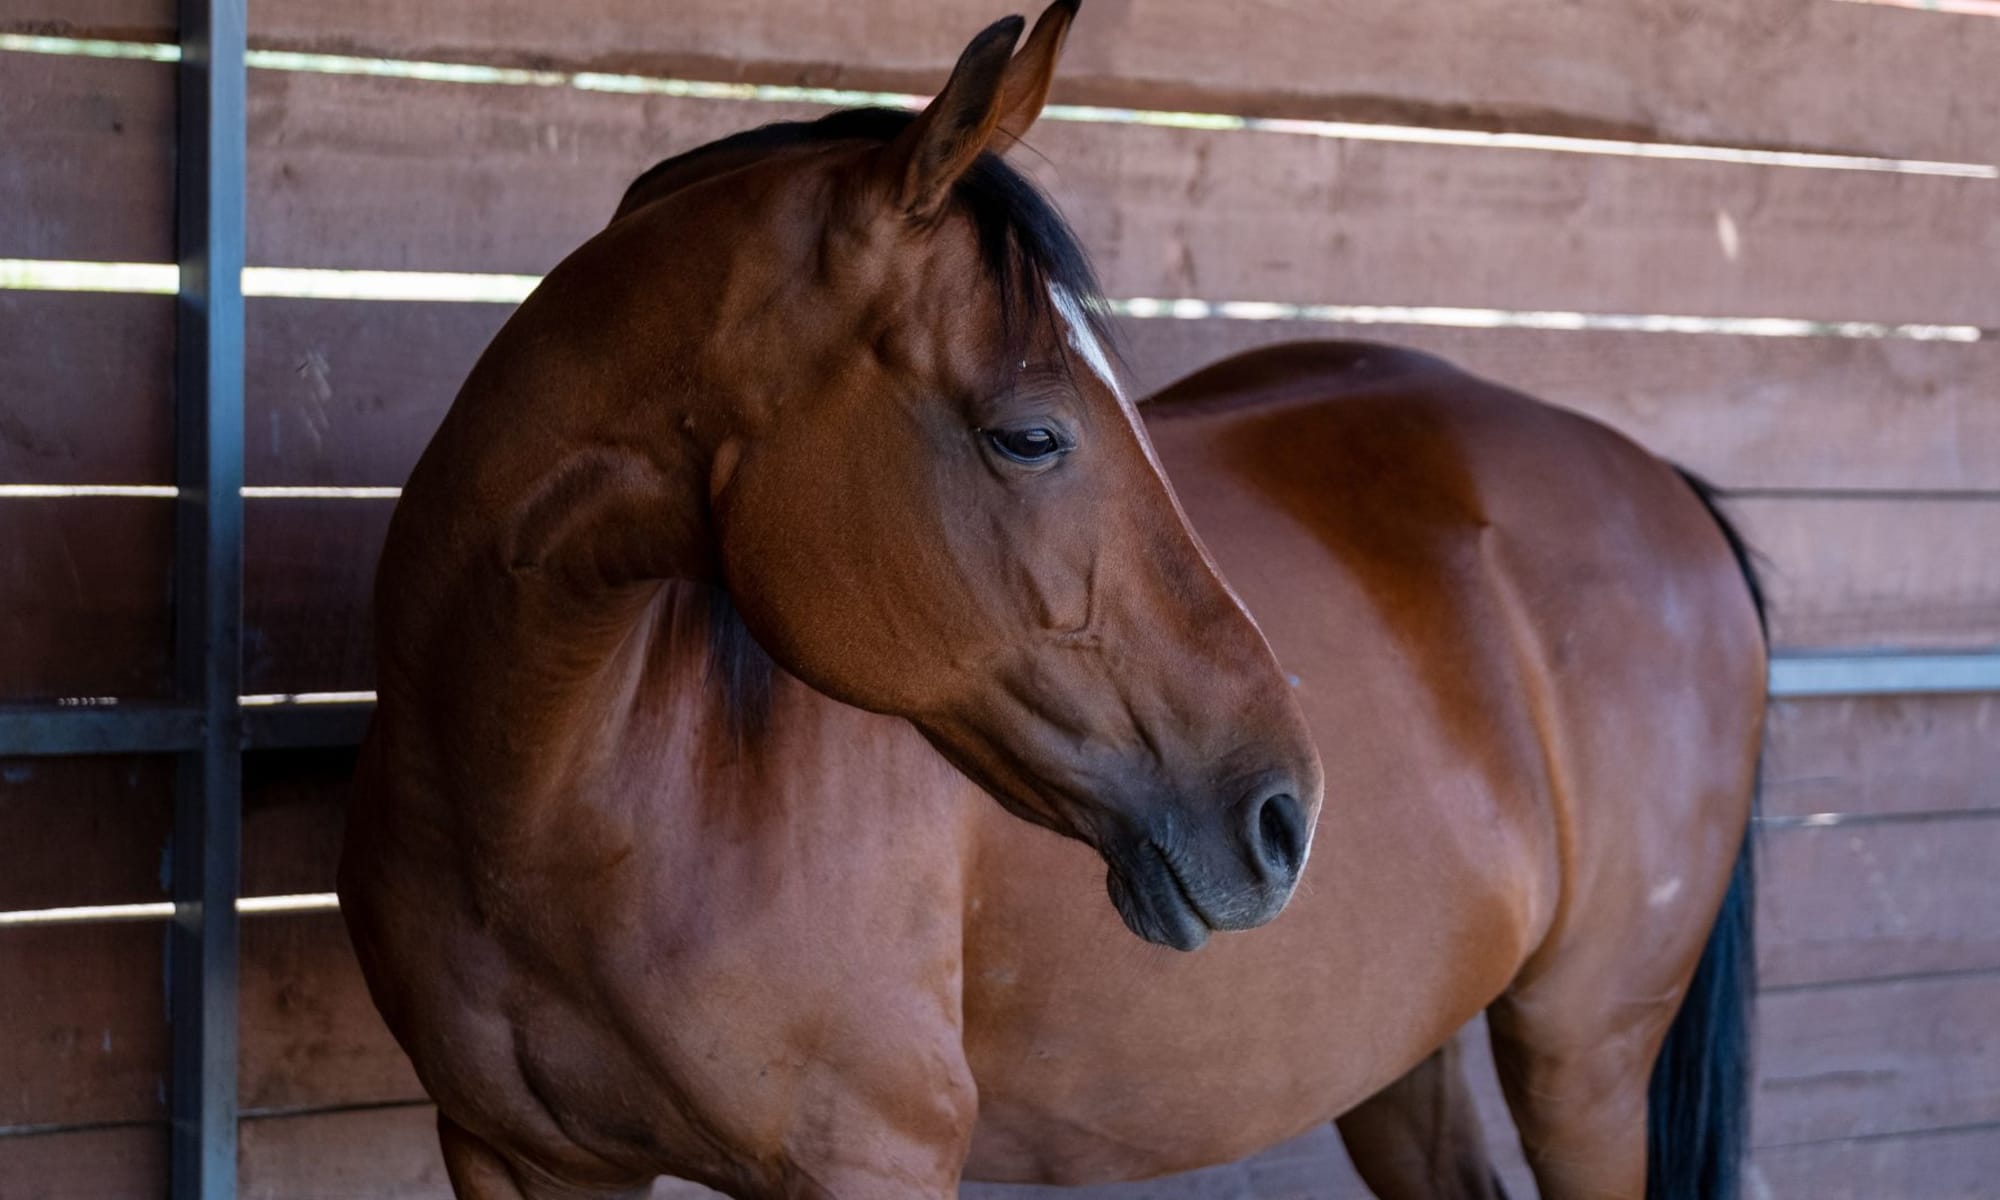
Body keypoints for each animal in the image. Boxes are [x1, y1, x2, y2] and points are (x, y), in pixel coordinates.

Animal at [339, 5, 1764, 1199]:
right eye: (1029, 435)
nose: (1281, 817)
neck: (558, 798)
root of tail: (1664, 487)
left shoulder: (869, 1159)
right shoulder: (519, 1160)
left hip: (1583, 1056)